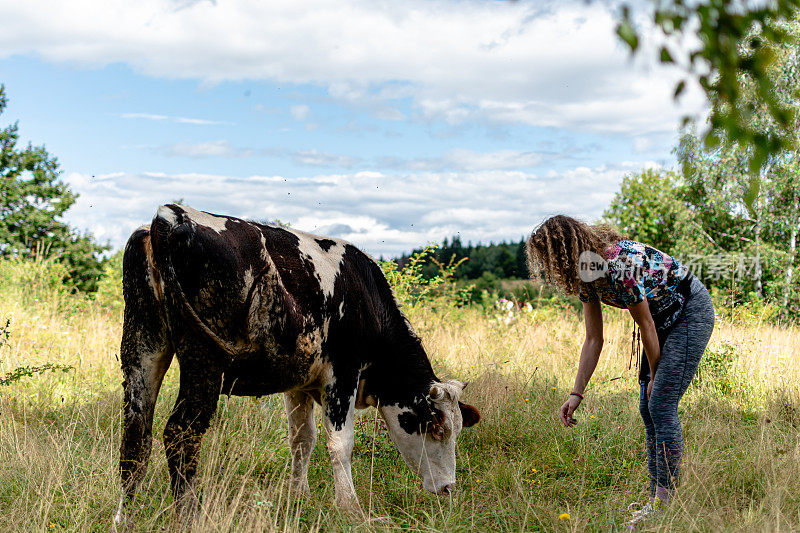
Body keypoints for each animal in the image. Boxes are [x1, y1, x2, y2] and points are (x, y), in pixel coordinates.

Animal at [115, 204, 478, 524]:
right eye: (437, 428)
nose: (448, 487)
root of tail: (171, 215)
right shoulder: (342, 374)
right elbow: (340, 444)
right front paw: (350, 508)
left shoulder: (299, 384)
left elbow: (302, 440)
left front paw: (298, 495)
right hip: (202, 359)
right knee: (181, 432)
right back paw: (188, 515)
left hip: (142, 345)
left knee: (136, 436)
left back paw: (126, 516)